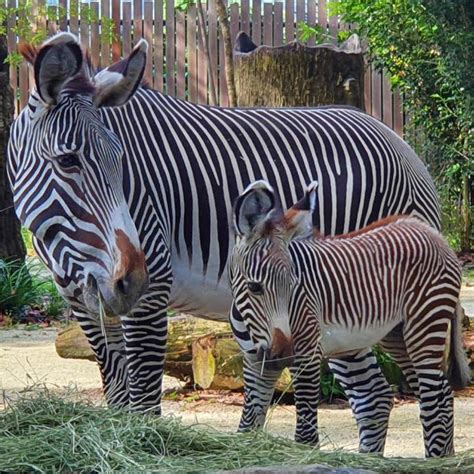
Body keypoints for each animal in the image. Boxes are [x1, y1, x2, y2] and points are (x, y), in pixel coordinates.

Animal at [8, 34, 440, 452]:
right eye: (68, 161)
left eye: (123, 163)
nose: (132, 281)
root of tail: (399, 141)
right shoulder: (84, 302)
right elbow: (116, 395)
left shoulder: (150, 294)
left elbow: (143, 402)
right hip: (346, 310)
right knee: (374, 397)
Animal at [230, 181, 470, 456]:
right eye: (254, 287)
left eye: (293, 287)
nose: (282, 356)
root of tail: (431, 231)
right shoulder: (253, 361)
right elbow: (247, 425)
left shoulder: (308, 352)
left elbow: (306, 434)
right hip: (397, 336)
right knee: (442, 393)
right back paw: (443, 457)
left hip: (425, 324)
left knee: (433, 399)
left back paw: (435, 459)